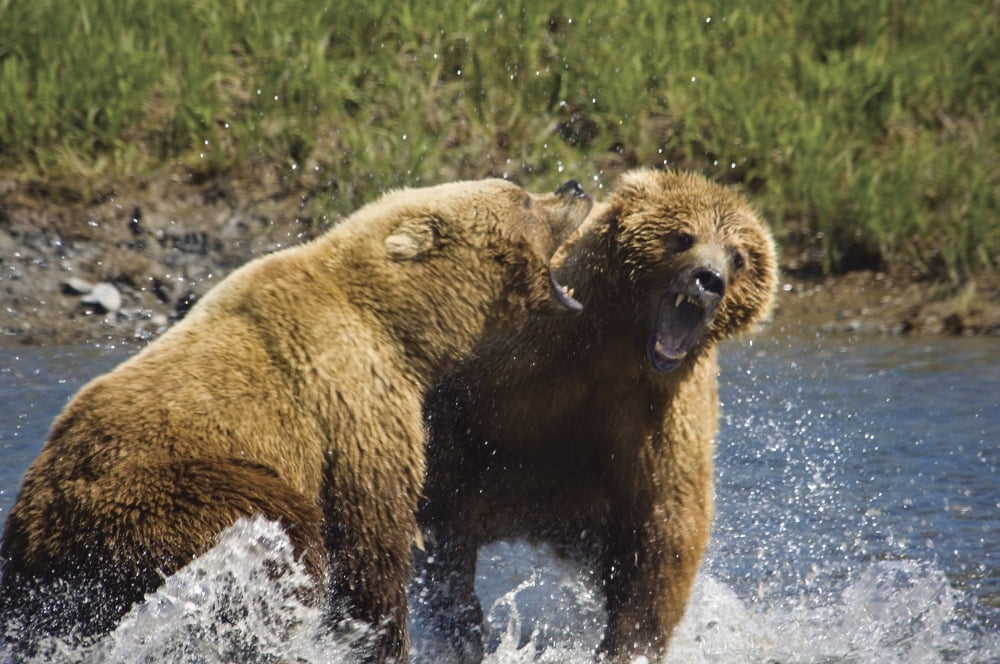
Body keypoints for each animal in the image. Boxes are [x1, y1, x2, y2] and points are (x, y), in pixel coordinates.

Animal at [0, 177, 593, 662]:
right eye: (520, 196)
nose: (575, 187)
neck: (401, 327)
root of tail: (38, 520)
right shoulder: (352, 399)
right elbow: (371, 538)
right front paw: (380, 637)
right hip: (157, 493)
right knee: (286, 527)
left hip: (50, 565)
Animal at [417, 169, 777, 663]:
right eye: (683, 237)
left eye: (738, 256)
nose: (709, 279)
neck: (619, 344)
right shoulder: (511, 367)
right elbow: (441, 498)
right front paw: (462, 621)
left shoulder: (661, 413)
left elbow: (666, 531)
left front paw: (628, 643)